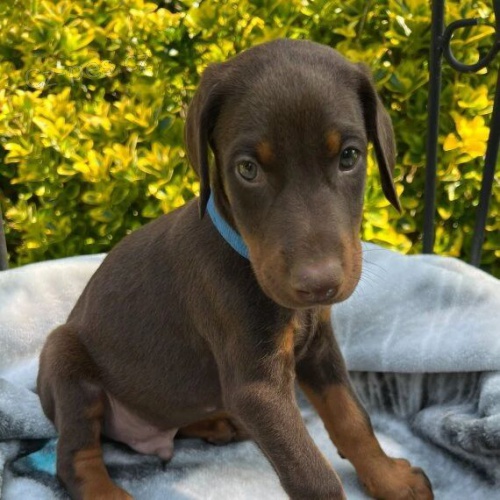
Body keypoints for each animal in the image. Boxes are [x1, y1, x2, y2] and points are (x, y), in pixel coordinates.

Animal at [37, 39, 433, 499]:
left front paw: (391, 480)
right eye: (247, 168)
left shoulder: (319, 346)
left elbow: (352, 417)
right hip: (65, 361)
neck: (242, 253)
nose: (319, 285)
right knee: (74, 458)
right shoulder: (256, 388)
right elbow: (314, 476)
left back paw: (218, 423)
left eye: (349, 156)